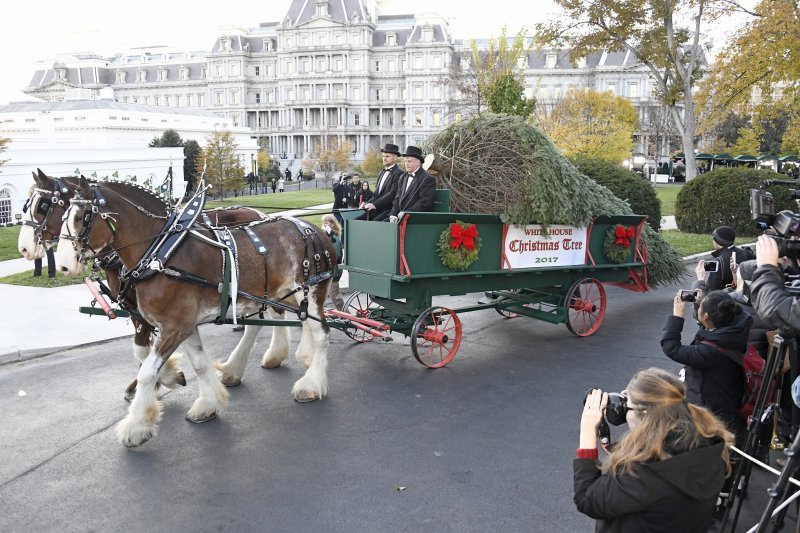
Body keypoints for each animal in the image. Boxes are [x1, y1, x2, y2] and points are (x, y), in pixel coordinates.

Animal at [55, 177, 332, 446]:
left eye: (82, 217)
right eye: (63, 215)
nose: (63, 265)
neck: (160, 253)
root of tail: (316, 230)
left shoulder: (173, 326)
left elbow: (147, 372)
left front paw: (136, 426)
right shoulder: (182, 324)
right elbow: (198, 363)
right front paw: (208, 404)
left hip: (310, 292)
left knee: (321, 334)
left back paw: (311, 383)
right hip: (281, 295)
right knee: (293, 324)